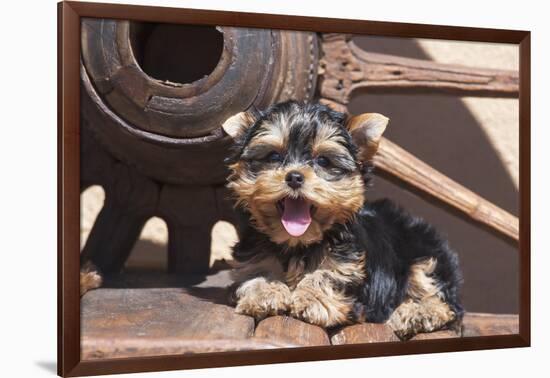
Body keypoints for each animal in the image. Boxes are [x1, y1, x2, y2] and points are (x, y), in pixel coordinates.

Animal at [224, 100, 466, 340]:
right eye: (273, 156)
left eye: (323, 160)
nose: (294, 177)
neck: (297, 243)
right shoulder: (253, 256)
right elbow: (258, 271)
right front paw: (266, 292)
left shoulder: (350, 269)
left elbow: (326, 274)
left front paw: (312, 299)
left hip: (424, 255)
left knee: (446, 303)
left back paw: (417, 313)